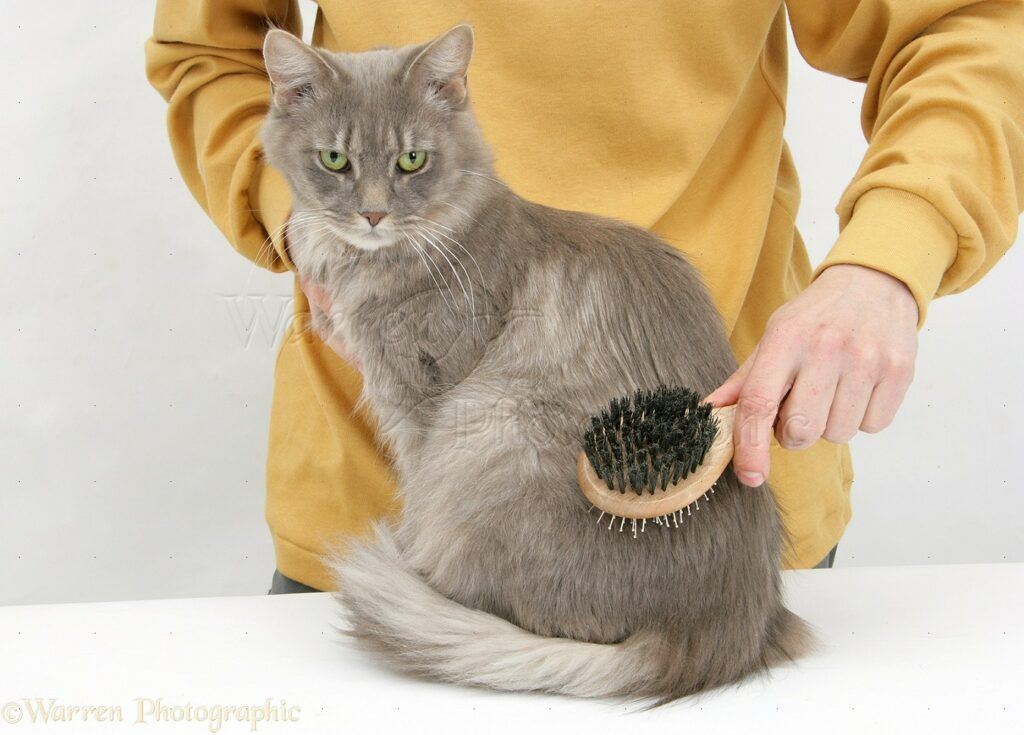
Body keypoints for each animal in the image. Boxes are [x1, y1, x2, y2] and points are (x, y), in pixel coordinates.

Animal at [260, 24, 811, 708]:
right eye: (335, 160)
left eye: (412, 161)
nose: (373, 213)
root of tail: (714, 630)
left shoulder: (421, 403)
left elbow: (412, 487)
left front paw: (408, 556)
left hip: (492, 424)